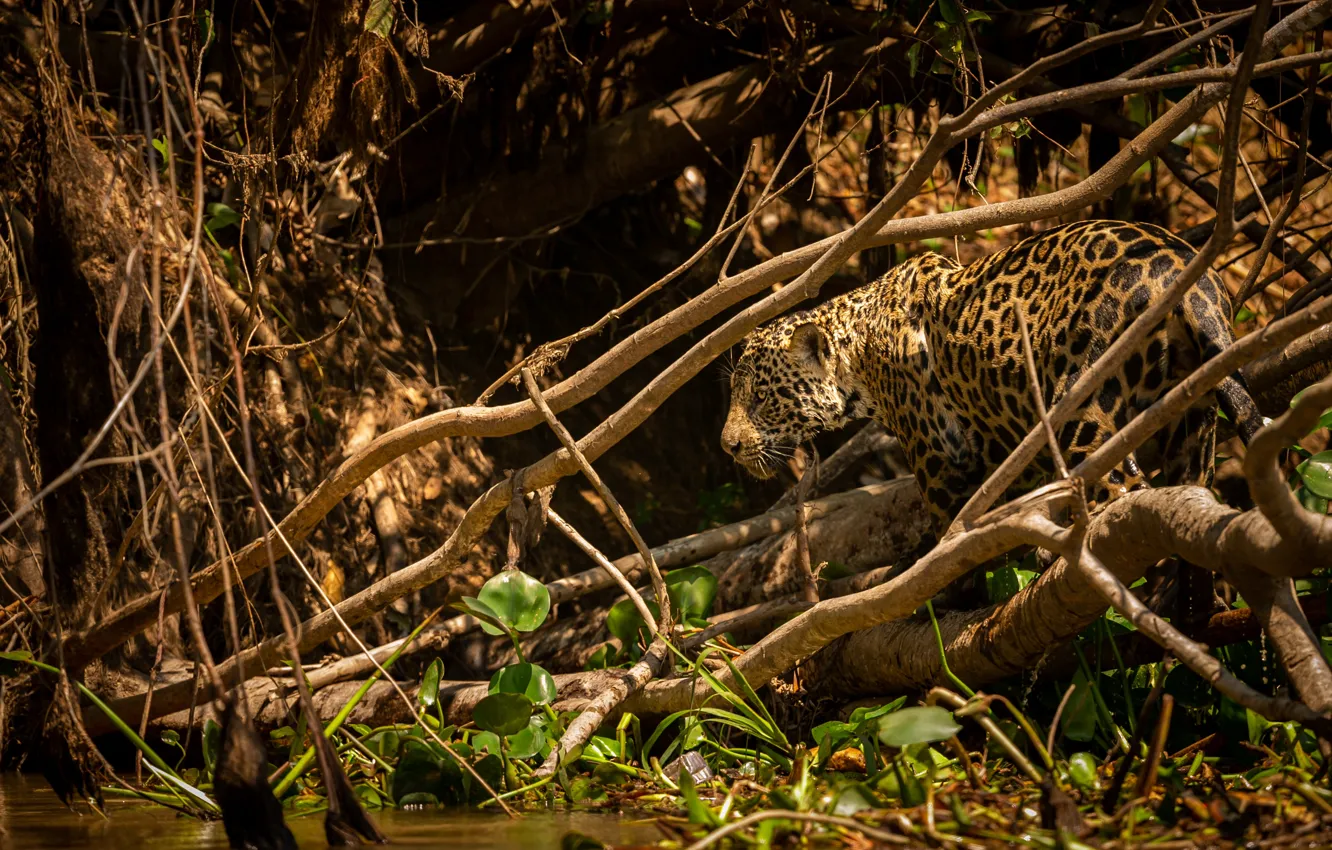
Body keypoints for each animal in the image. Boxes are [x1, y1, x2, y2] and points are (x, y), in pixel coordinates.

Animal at [721, 220, 1265, 540]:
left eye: (761, 397)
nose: (728, 446)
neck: (861, 352)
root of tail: (1185, 275)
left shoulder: (939, 463)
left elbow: (949, 537)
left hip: (1082, 412)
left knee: (1118, 491)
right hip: (1192, 421)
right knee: (1186, 494)